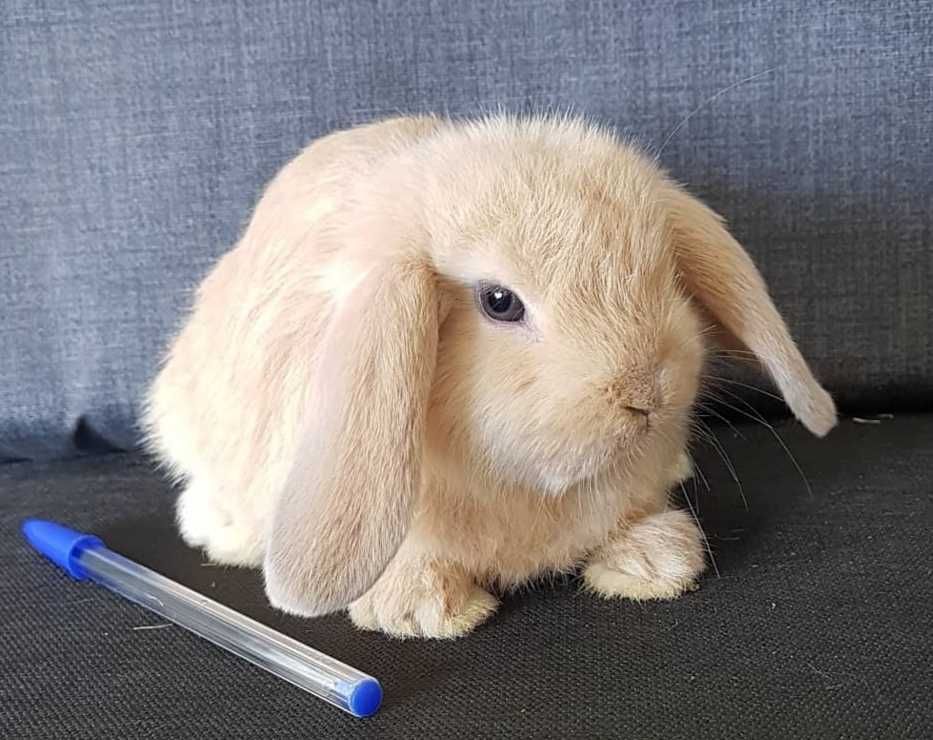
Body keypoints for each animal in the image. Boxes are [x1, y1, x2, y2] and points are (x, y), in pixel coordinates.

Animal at [144, 112, 836, 640]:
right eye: (499, 302)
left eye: (662, 273)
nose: (645, 395)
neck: (526, 486)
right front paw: (422, 611)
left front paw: (656, 560)